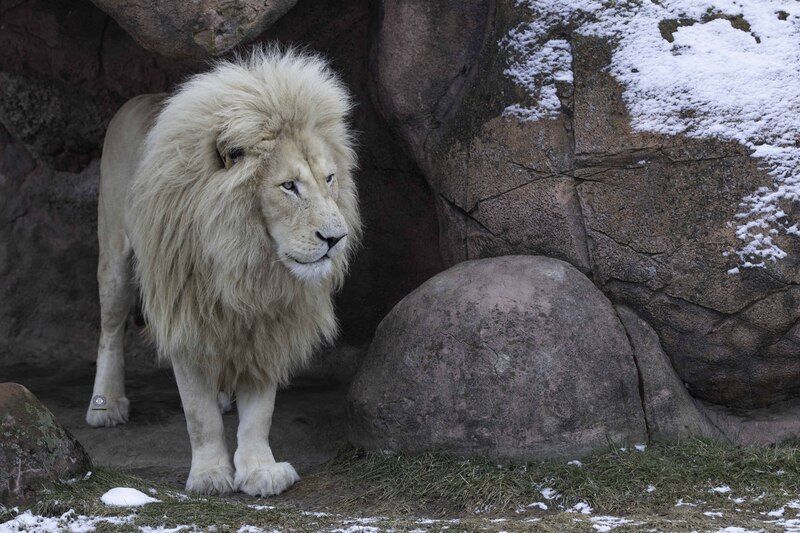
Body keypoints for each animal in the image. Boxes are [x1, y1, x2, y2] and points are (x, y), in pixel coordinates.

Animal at [85, 46, 360, 497]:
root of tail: (138, 99)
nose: (336, 238)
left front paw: (260, 471)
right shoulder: (183, 311)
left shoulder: (271, 322)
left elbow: (260, 412)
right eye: (289, 186)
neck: (246, 259)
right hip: (115, 255)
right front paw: (211, 475)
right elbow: (198, 414)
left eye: (330, 178)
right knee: (109, 330)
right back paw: (105, 405)